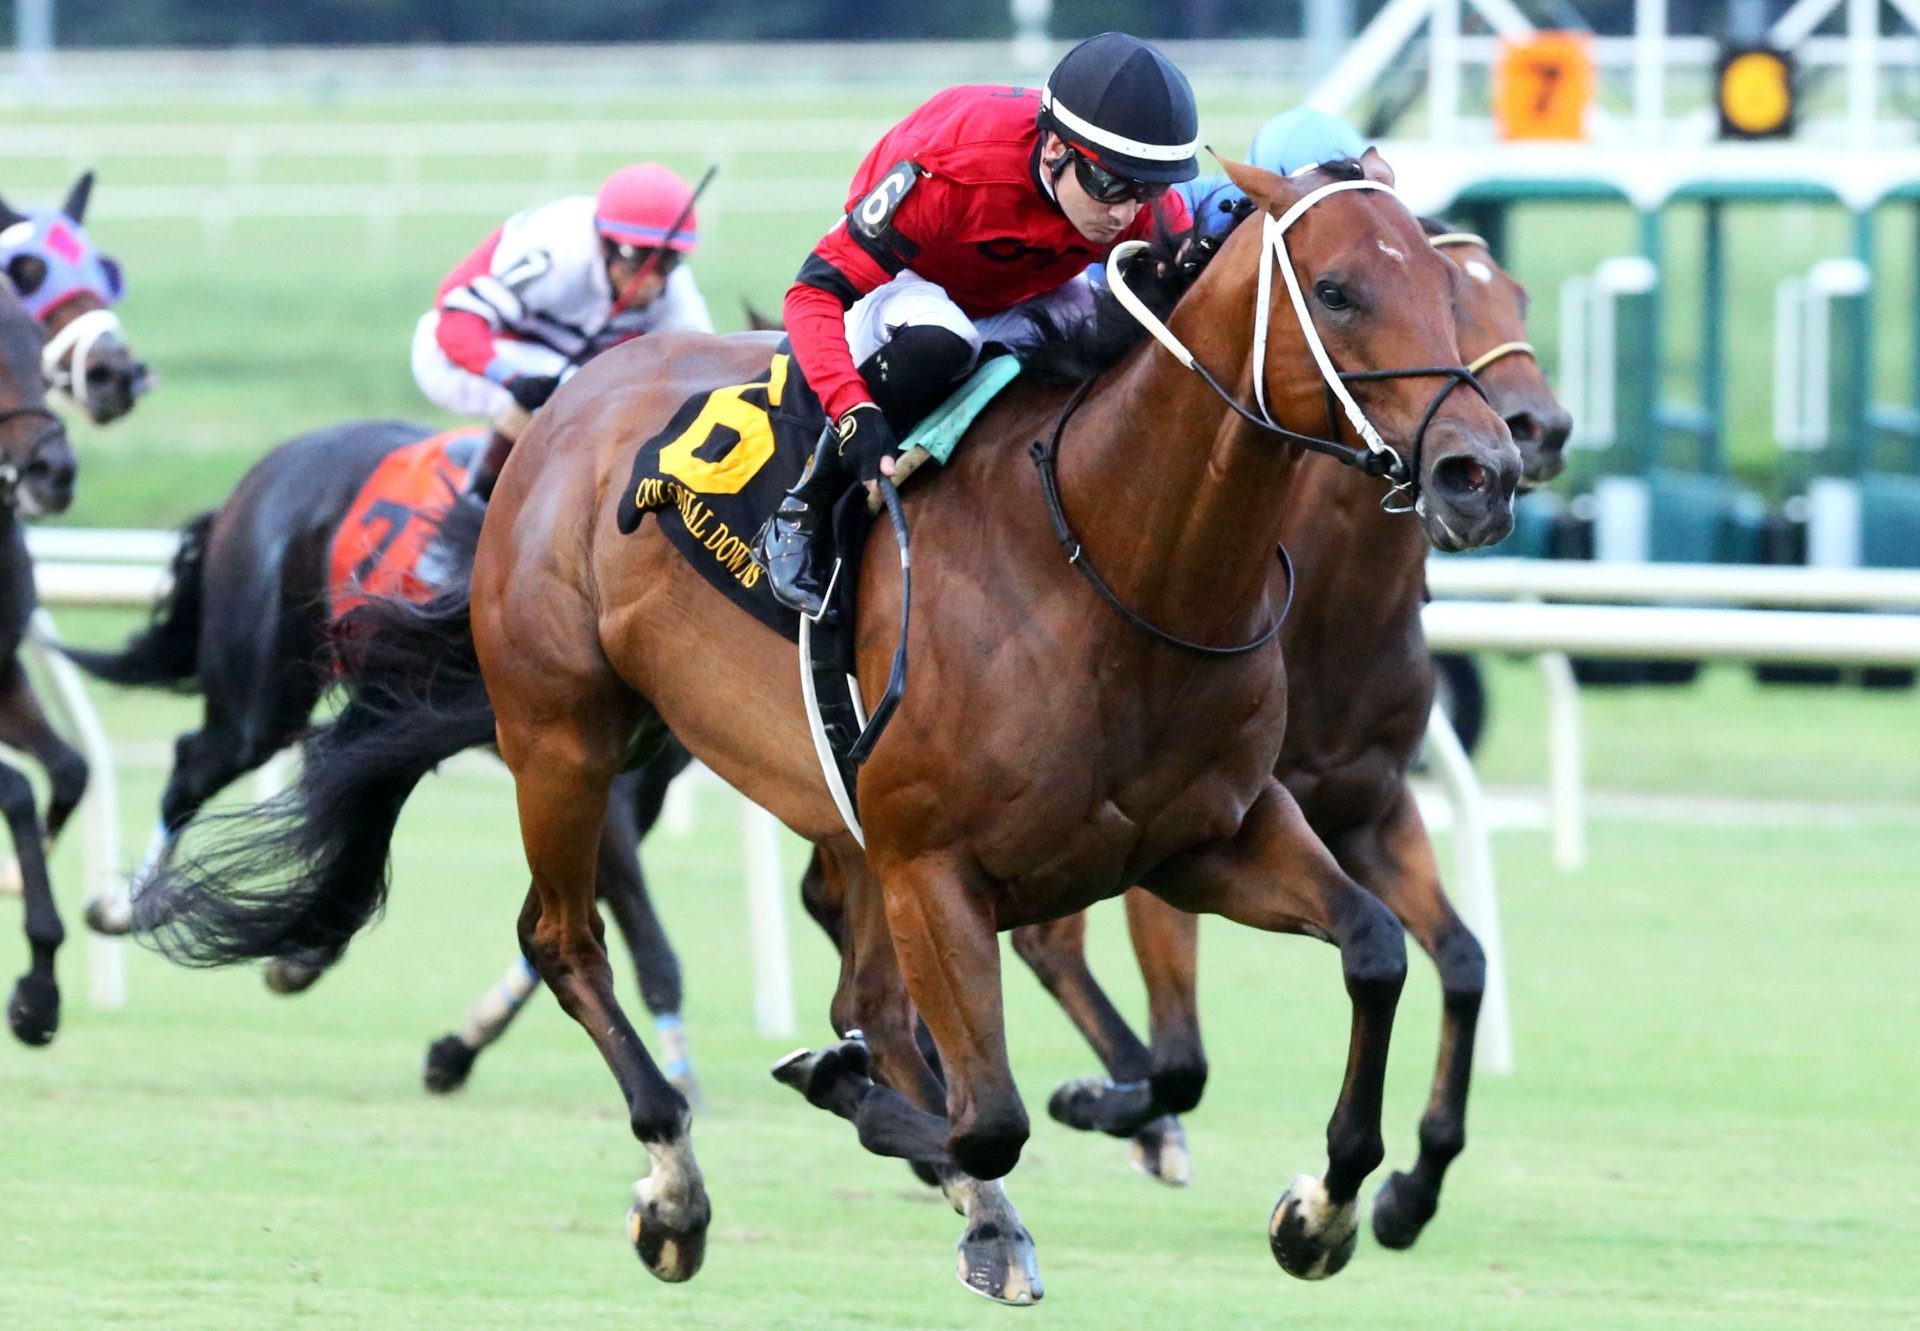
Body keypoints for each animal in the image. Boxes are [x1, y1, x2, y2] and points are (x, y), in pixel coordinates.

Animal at [131, 147, 1512, 1298]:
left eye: (1455, 293)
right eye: (1336, 290)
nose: (1482, 469)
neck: (1120, 561)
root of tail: (570, 401)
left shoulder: (1204, 835)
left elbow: (1375, 951)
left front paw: (1326, 1203)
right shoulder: (935, 863)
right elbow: (984, 1107)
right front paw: (880, 1102)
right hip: (567, 732)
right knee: (564, 940)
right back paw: (676, 1183)